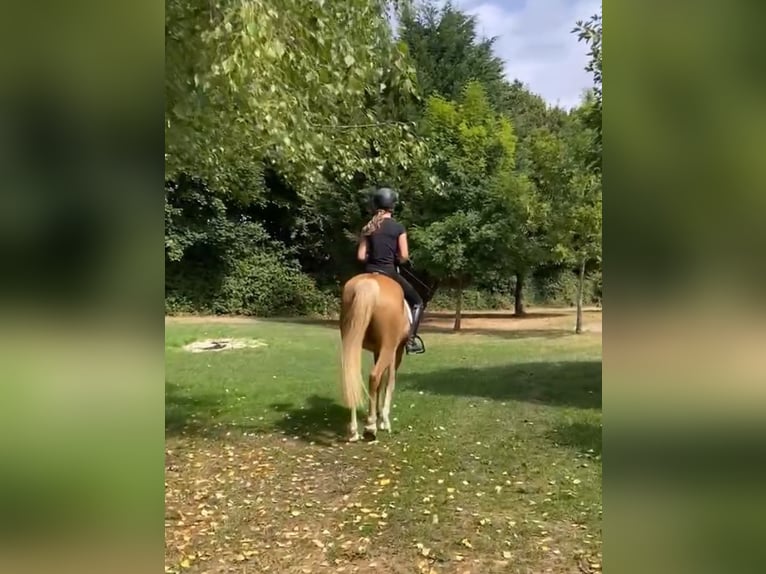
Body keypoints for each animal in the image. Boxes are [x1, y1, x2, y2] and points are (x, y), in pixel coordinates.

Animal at [339, 272, 410, 442]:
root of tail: (369, 282)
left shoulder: (378, 351)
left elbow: (382, 384)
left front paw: (378, 414)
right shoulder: (395, 351)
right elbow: (389, 381)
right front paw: (384, 420)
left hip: (352, 341)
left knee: (353, 377)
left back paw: (354, 431)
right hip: (387, 348)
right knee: (374, 377)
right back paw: (370, 427)